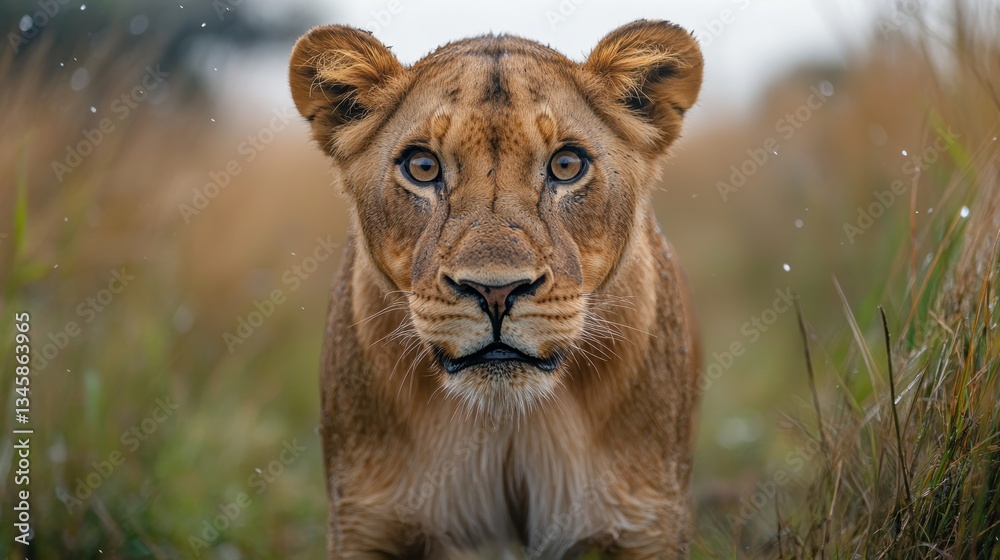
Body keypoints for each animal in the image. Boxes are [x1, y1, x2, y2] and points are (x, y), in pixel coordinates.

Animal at [289, 19, 703, 559]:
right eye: (422, 167)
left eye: (567, 165)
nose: (496, 293)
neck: (506, 424)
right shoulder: (363, 519)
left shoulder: (649, 521)